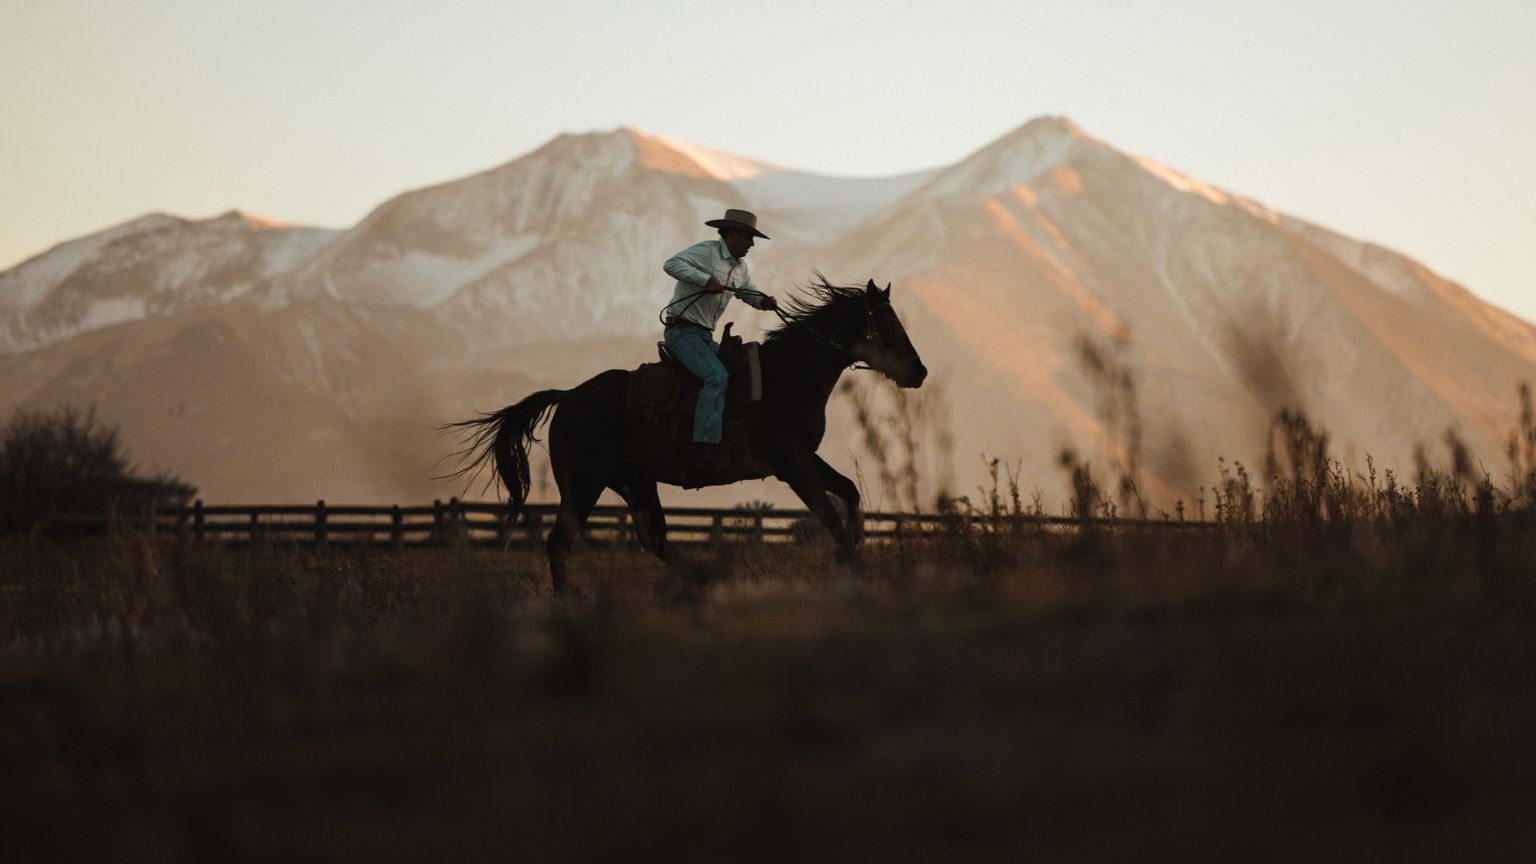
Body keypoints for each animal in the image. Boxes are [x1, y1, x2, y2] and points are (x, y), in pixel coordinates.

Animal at [443, 278, 927, 594]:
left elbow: (849, 494)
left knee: (653, 536)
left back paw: (702, 578)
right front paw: (849, 565)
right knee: (560, 541)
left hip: (634, 481)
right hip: (582, 485)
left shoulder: (807, 457)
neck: (787, 376)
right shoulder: (791, 464)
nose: (919, 372)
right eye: (888, 325)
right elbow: (830, 517)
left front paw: (857, 560)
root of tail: (569, 397)